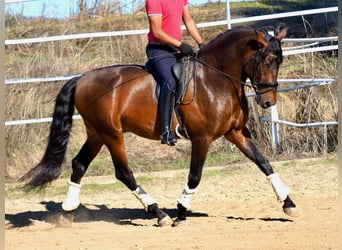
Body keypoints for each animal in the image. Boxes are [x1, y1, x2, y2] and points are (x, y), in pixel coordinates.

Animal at [21, 26, 296, 227]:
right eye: (266, 61)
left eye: (279, 62)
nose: (268, 102)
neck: (216, 79)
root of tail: (82, 79)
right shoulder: (202, 138)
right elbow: (195, 176)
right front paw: (181, 211)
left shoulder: (236, 133)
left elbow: (264, 163)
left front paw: (288, 203)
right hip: (112, 134)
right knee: (123, 172)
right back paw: (159, 213)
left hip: (96, 134)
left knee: (79, 164)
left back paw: (67, 212)